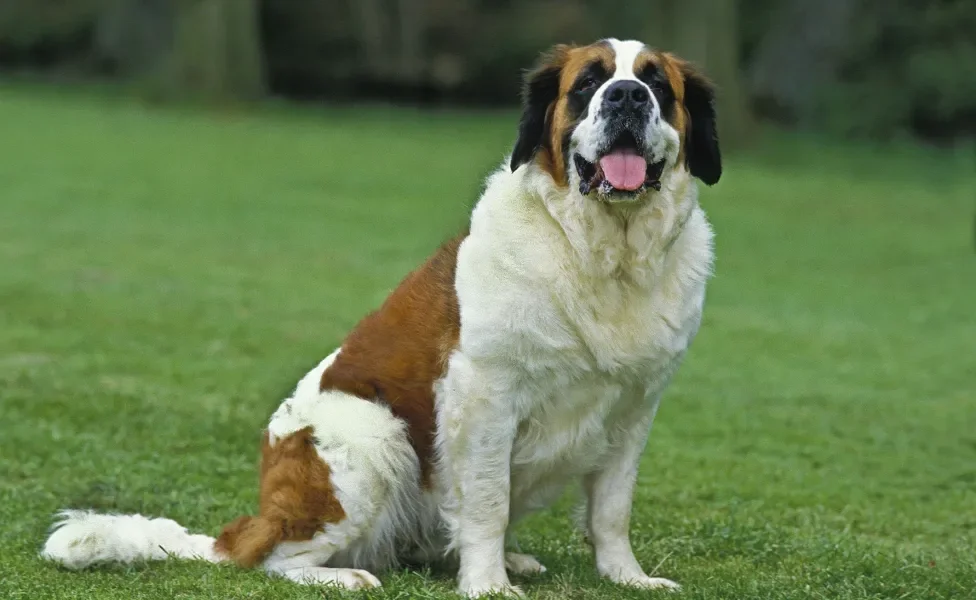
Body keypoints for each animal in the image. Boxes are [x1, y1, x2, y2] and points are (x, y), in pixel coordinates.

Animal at [42, 37, 720, 596]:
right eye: (589, 84)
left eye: (657, 85)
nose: (627, 96)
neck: (603, 256)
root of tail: (255, 521)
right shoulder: (483, 395)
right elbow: (486, 502)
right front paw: (488, 586)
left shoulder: (635, 407)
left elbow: (612, 507)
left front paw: (627, 577)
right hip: (372, 433)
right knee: (275, 559)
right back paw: (347, 575)